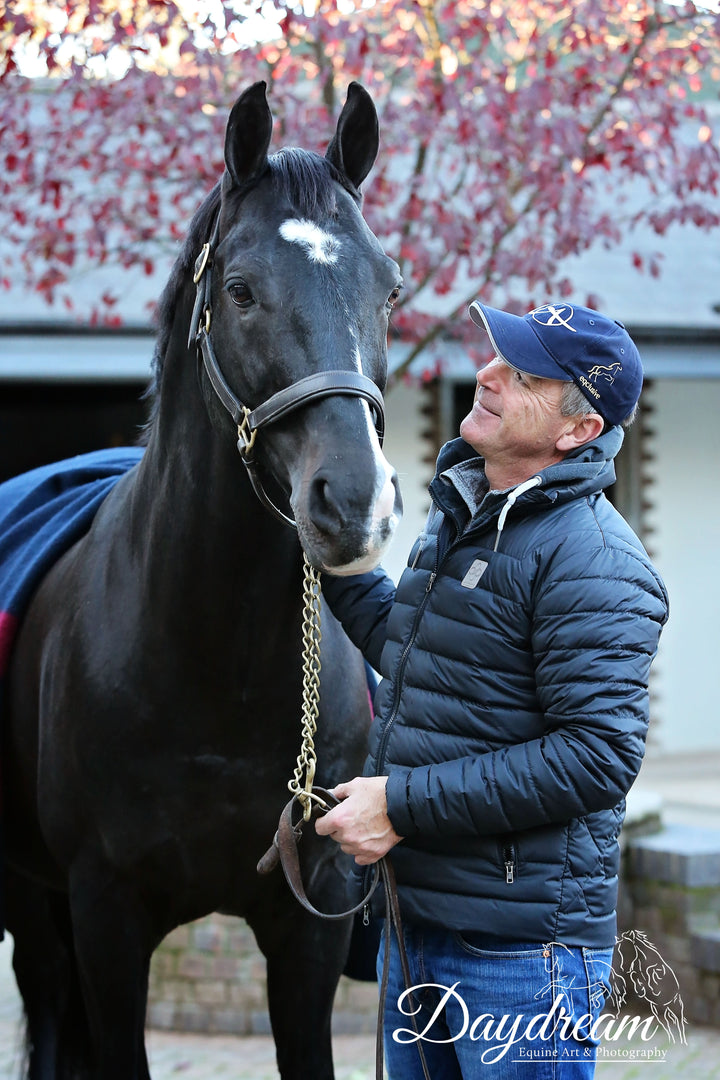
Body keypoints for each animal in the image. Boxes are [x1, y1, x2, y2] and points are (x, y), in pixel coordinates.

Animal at [2, 82, 403, 1080]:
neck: (219, 663)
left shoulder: (309, 927)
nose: (356, 503)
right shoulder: (106, 921)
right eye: (240, 289)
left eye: (389, 288)